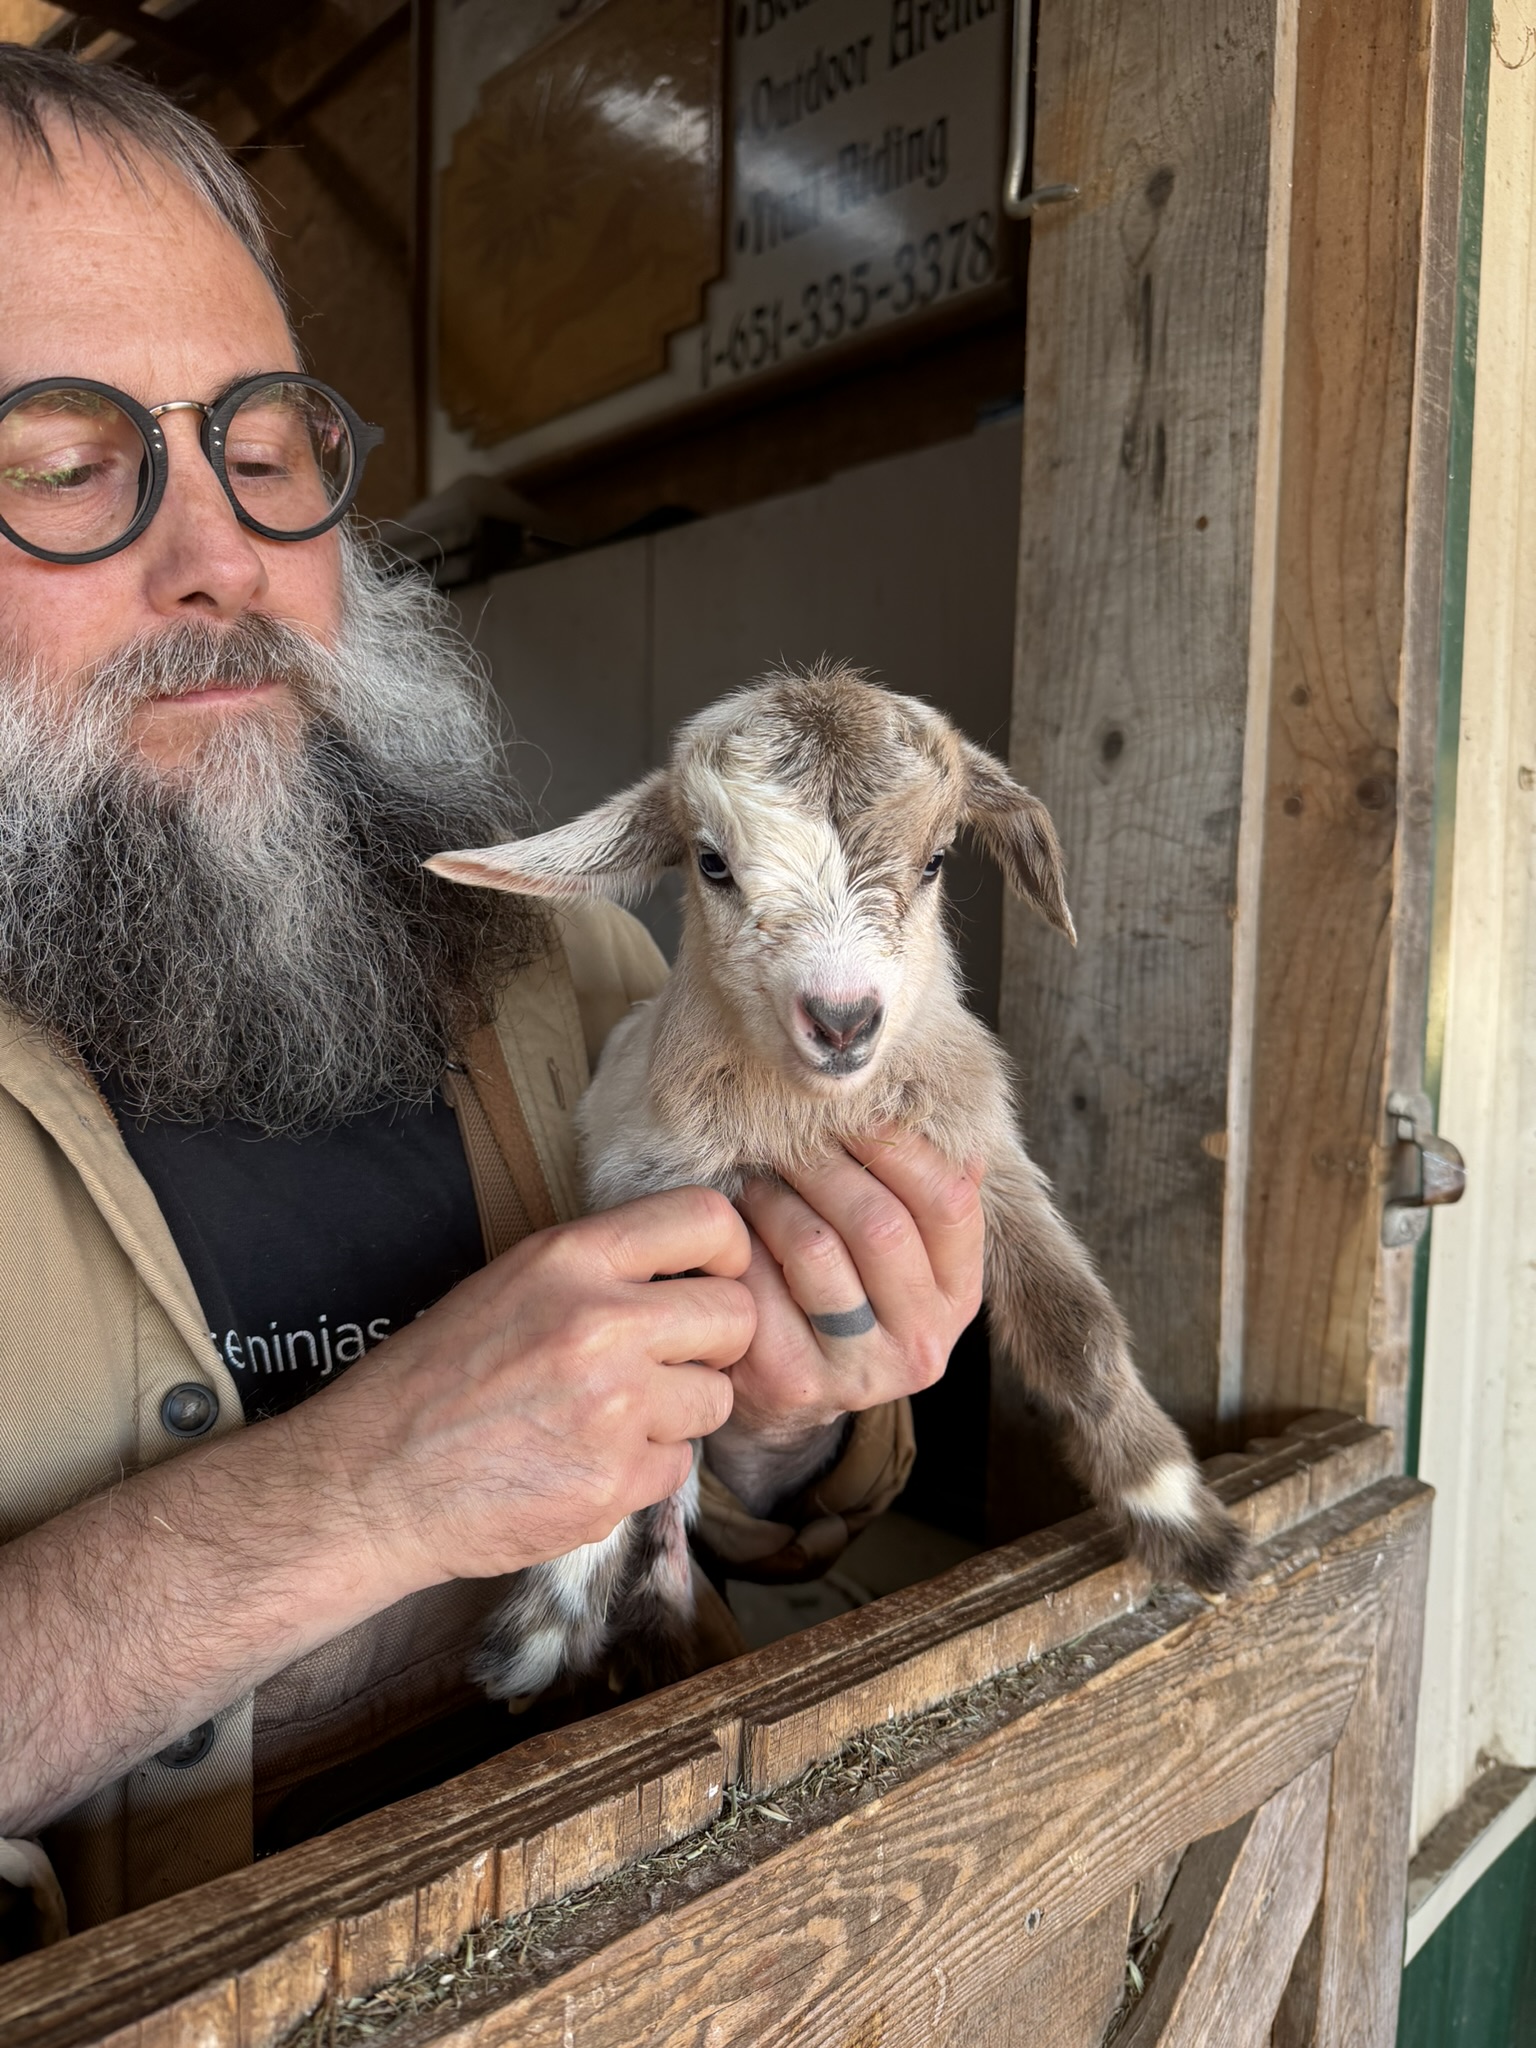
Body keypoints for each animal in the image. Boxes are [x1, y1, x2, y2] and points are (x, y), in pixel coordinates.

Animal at [428, 667, 1248, 1701]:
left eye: (936, 860)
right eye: (712, 863)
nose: (844, 1019)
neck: (811, 1115)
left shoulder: (990, 1169)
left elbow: (1080, 1336)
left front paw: (1187, 1525)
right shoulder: (652, 1201)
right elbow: (621, 1414)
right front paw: (542, 1626)